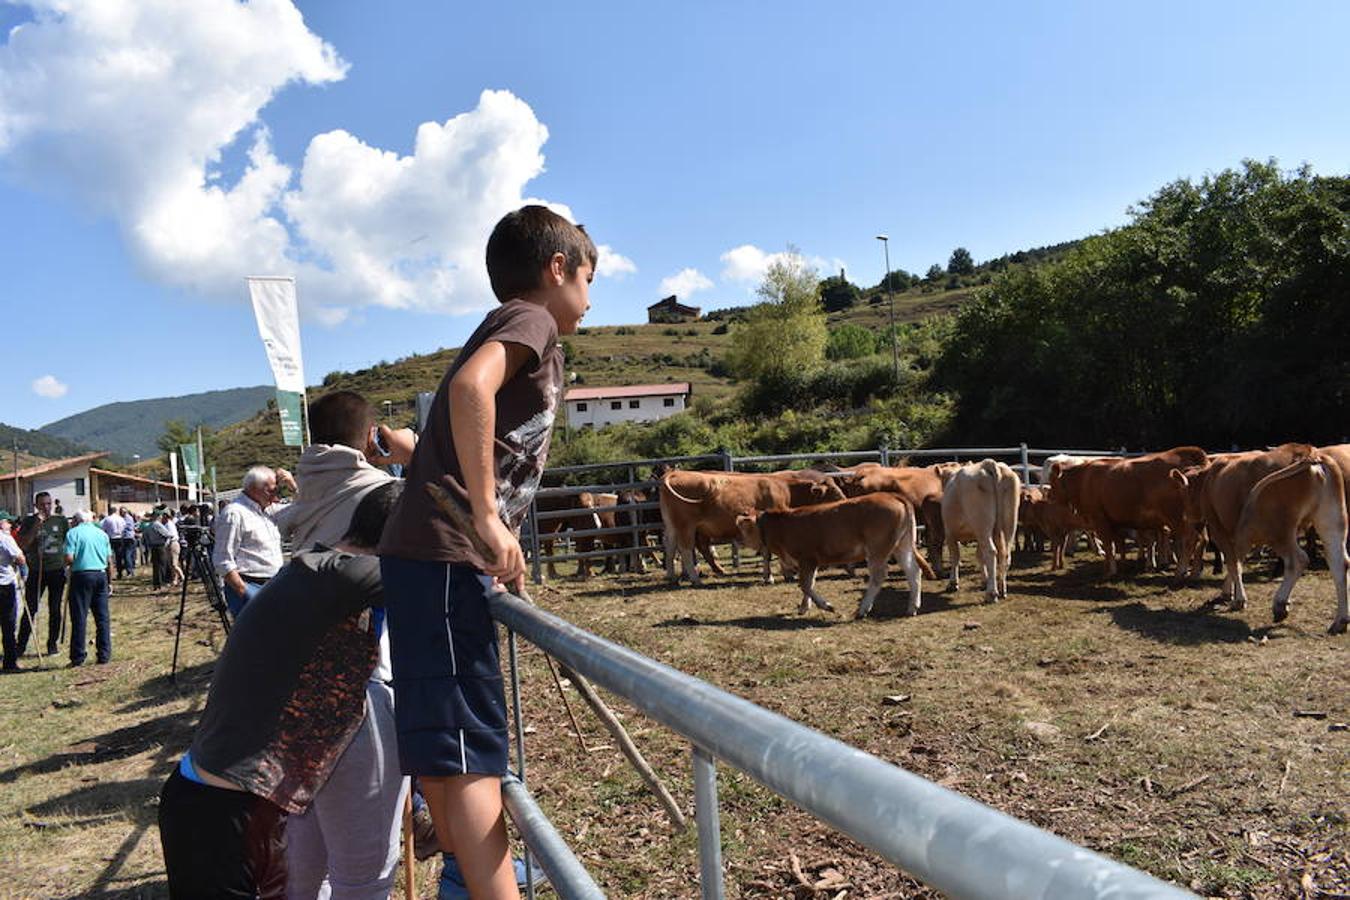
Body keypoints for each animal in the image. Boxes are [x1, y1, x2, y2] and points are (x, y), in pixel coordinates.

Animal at [656, 469, 842, 588]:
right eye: (833, 492)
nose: (844, 501)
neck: (786, 490)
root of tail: (676, 473)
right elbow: (768, 552)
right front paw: (774, 576)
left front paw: (785, 573)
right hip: (685, 525)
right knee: (685, 549)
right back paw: (695, 579)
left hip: (672, 526)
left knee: (670, 546)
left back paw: (672, 577)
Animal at [734, 493, 934, 620]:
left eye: (743, 530)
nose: (739, 541)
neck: (782, 527)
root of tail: (893, 496)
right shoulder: (810, 562)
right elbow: (810, 583)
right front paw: (804, 607)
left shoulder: (807, 558)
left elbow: (805, 584)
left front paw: (826, 606)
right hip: (902, 545)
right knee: (913, 571)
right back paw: (912, 607)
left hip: (878, 549)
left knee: (878, 577)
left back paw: (862, 610)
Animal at [939, 461, 1020, 601]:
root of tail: (988, 464)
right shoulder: (977, 535)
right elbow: (979, 555)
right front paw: (984, 580)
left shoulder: (950, 533)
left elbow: (955, 557)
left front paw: (953, 583)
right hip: (1009, 524)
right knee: (1005, 554)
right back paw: (1002, 589)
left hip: (982, 525)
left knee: (991, 552)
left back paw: (992, 593)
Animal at [1047, 447, 1209, 580]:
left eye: (1052, 482)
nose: (1048, 497)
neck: (1083, 479)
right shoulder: (1115, 521)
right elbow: (1117, 546)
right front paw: (1118, 567)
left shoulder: (1099, 519)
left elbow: (1109, 545)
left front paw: (1111, 571)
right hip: (1196, 519)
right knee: (1202, 539)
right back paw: (1195, 571)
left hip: (1177, 517)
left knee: (1190, 539)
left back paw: (1181, 571)